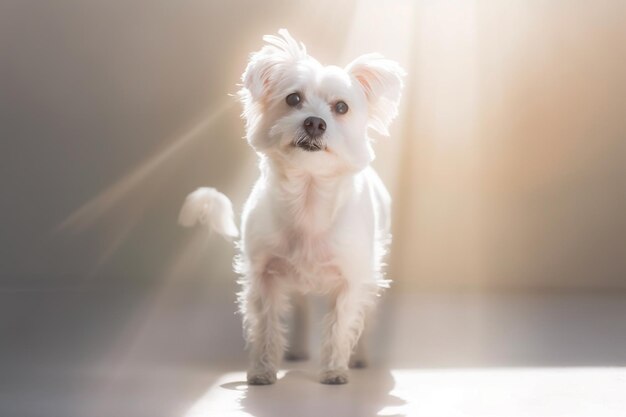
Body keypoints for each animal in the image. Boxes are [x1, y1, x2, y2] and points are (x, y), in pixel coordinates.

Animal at [179, 29, 404, 384]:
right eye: (293, 99)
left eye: (341, 107)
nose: (314, 122)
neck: (308, 199)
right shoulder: (263, 276)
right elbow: (266, 325)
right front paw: (262, 370)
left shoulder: (352, 279)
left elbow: (341, 324)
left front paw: (334, 370)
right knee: (300, 309)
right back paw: (297, 349)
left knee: (365, 318)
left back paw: (360, 357)